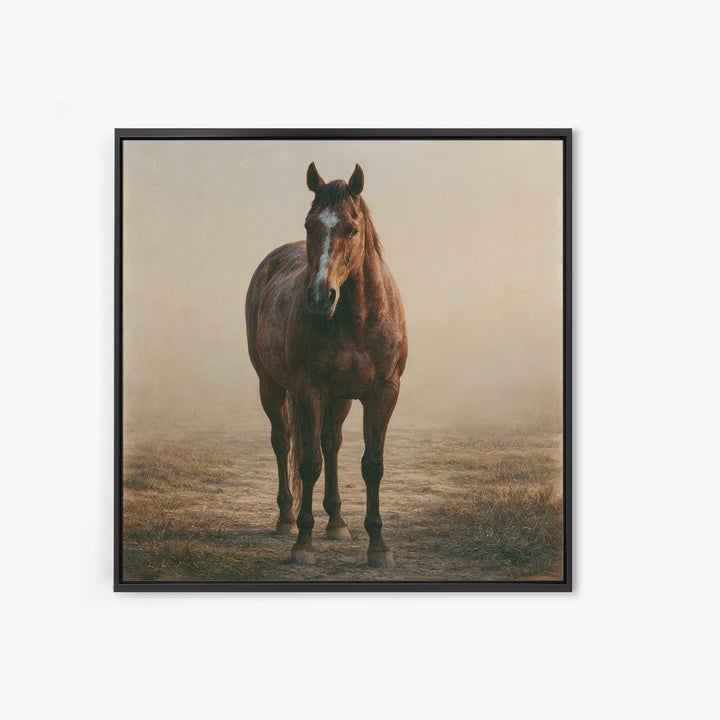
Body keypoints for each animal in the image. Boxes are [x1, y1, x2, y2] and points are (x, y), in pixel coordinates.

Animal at [245, 163, 408, 567]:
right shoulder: (308, 390)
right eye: (309, 225)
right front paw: (303, 544)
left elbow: (372, 464)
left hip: (341, 398)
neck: (358, 318)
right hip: (271, 386)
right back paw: (286, 517)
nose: (320, 297)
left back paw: (336, 521)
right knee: (284, 441)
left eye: (352, 228)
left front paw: (378, 546)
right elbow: (308, 462)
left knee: (331, 443)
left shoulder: (384, 392)